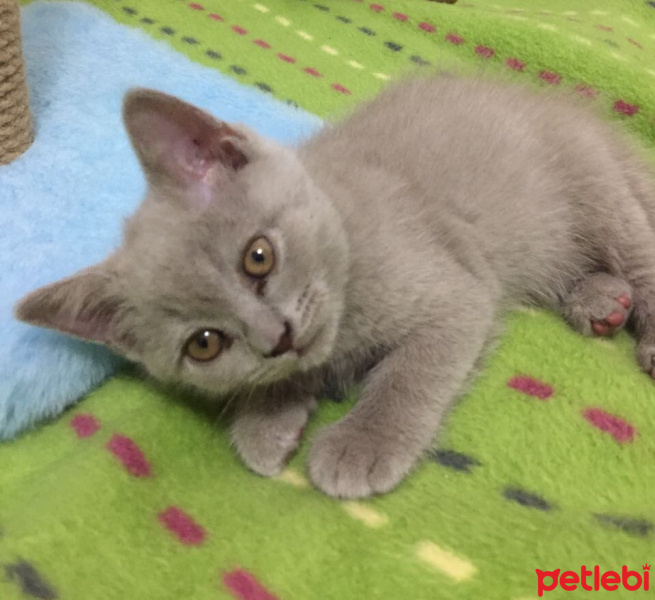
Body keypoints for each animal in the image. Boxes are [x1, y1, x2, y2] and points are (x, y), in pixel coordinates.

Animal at [14, 74, 655, 496]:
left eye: (258, 258)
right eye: (204, 344)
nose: (276, 336)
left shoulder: (457, 292)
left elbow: (409, 373)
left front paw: (362, 444)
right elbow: (285, 378)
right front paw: (267, 418)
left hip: (591, 180)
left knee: (639, 247)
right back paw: (600, 301)